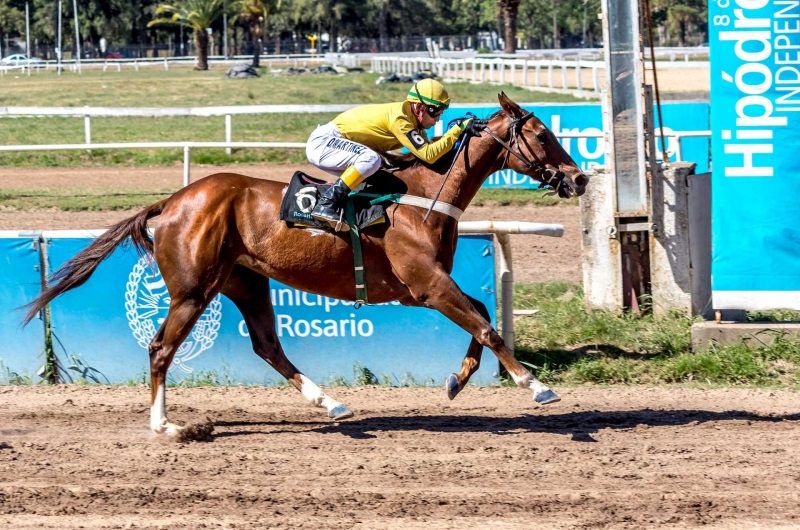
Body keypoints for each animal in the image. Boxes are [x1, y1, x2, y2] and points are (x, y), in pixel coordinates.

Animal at [23, 94, 588, 434]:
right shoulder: (426, 285)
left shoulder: (421, 288)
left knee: (267, 345)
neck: (424, 196)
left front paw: (458, 379)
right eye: (541, 135)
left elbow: (483, 317)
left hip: (245, 282)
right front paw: (536, 386)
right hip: (192, 290)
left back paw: (330, 403)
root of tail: (174, 200)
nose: (579, 178)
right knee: (161, 349)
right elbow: (487, 327)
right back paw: (165, 426)